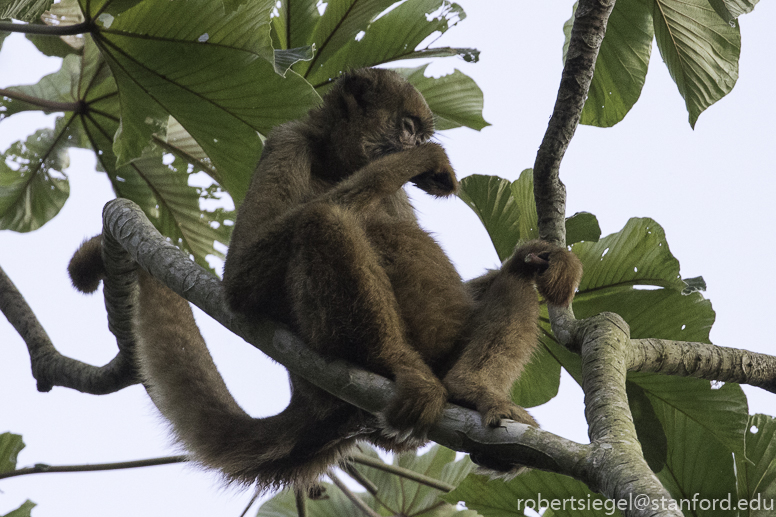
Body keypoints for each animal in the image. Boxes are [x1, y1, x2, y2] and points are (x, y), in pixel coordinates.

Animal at [69, 67, 584, 492]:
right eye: (407, 127)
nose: (412, 144)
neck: (334, 159)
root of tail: (308, 398)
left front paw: (545, 256)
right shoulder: (286, 140)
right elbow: (241, 282)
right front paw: (417, 162)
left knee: (517, 278)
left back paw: (472, 387)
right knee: (324, 219)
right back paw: (399, 365)